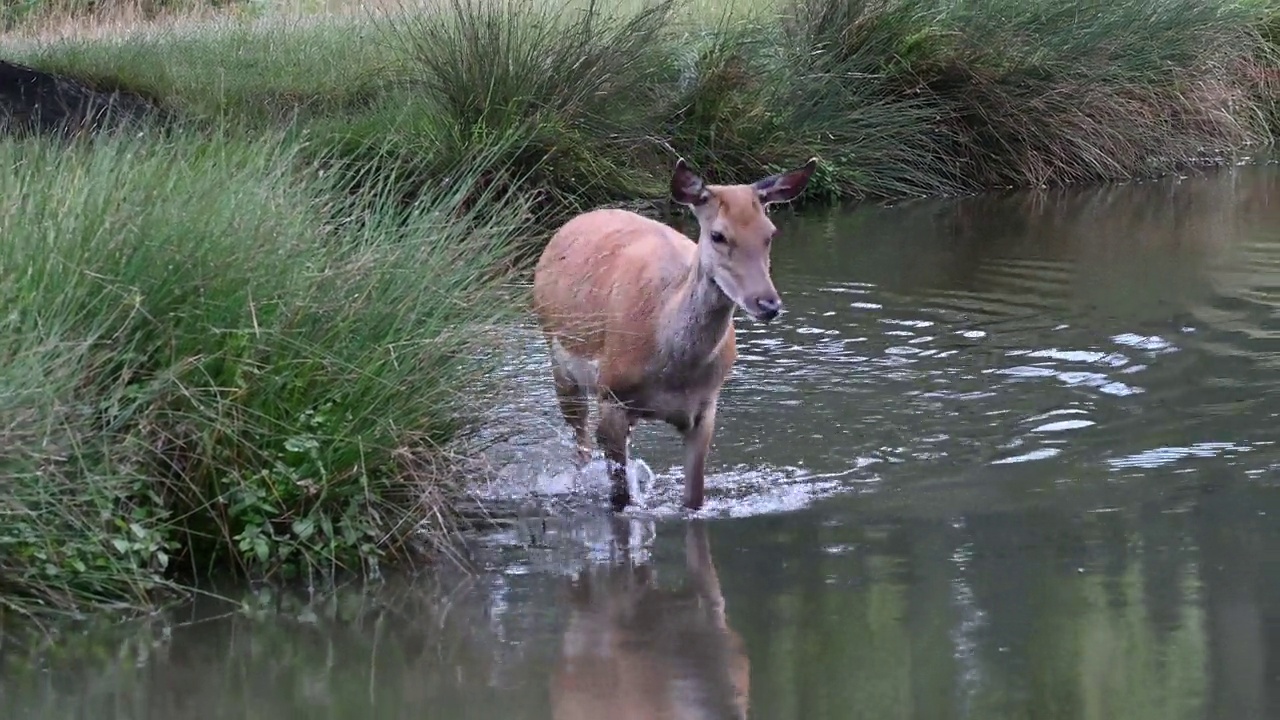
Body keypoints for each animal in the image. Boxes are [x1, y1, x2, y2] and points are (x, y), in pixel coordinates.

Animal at [532, 154, 819, 509]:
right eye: (718, 235)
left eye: (770, 233)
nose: (767, 303)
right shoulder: (611, 394)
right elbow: (620, 500)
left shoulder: (705, 408)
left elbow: (694, 499)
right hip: (559, 361)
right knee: (580, 444)